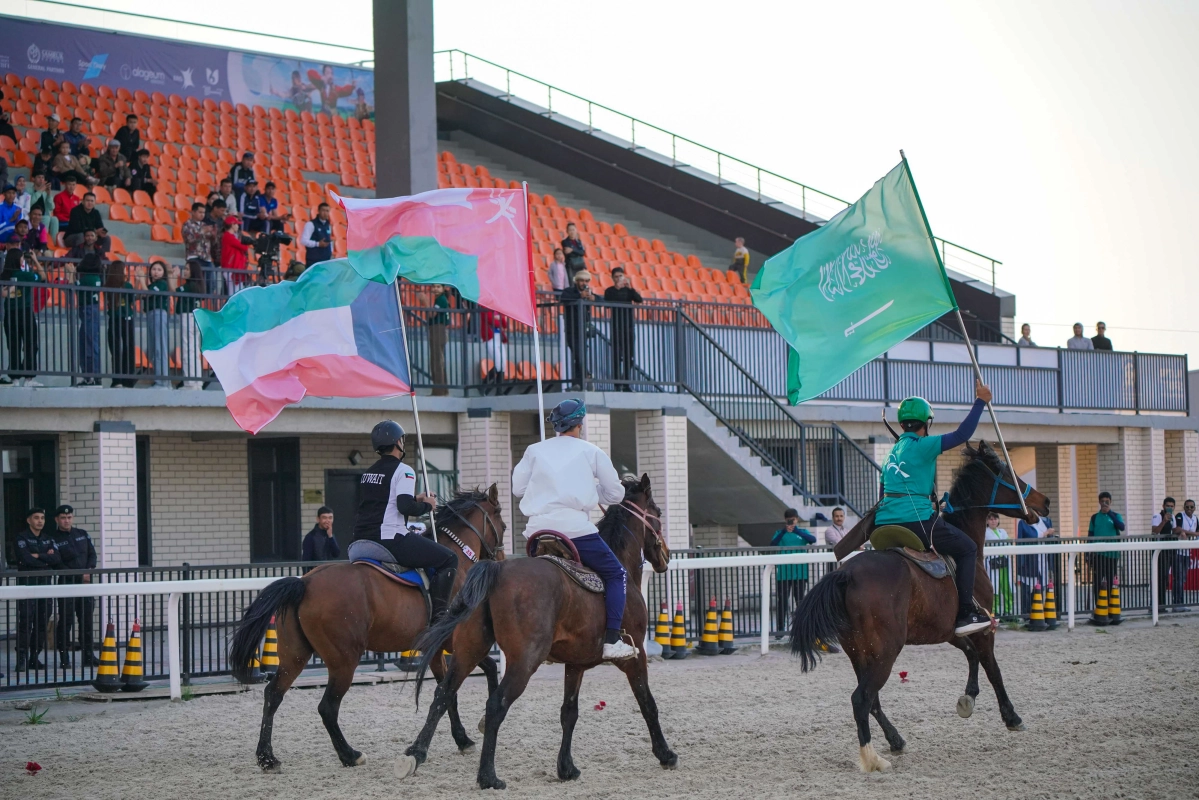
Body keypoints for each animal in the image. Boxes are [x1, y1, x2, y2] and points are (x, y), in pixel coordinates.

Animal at [227, 484, 505, 772]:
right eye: (503, 523)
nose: (501, 557)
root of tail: (305, 583)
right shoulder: (459, 644)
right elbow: (475, 677)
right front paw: (478, 726)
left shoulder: (438, 651)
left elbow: (450, 693)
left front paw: (462, 739)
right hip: (344, 661)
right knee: (327, 707)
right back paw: (349, 754)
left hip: (295, 656)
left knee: (273, 694)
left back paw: (266, 757)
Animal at [400, 472, 676, 791]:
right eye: (658, 513)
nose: (666, 555)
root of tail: (496, 571)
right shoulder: (635, 655)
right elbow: (647, 702)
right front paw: (665, 754)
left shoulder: (575, 664)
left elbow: (569, 712)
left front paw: (566, 767)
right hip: (524, 661)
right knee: (496, 705)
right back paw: (488, 776)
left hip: (469, 650)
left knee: (444, 693)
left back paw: (417, 753)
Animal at [791, 443, 1045, 777]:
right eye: (1007, 473)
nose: (1045, 502)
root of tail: (846, 574)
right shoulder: (982, 628)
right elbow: (993, 669)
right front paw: (1011, 716)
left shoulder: (951, 630)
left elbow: (971, 656)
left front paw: (968, 697)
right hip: (885, 651)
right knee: (861, 699)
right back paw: (872, 758)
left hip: (860, 652)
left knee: (871, 700)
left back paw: (895, 740)